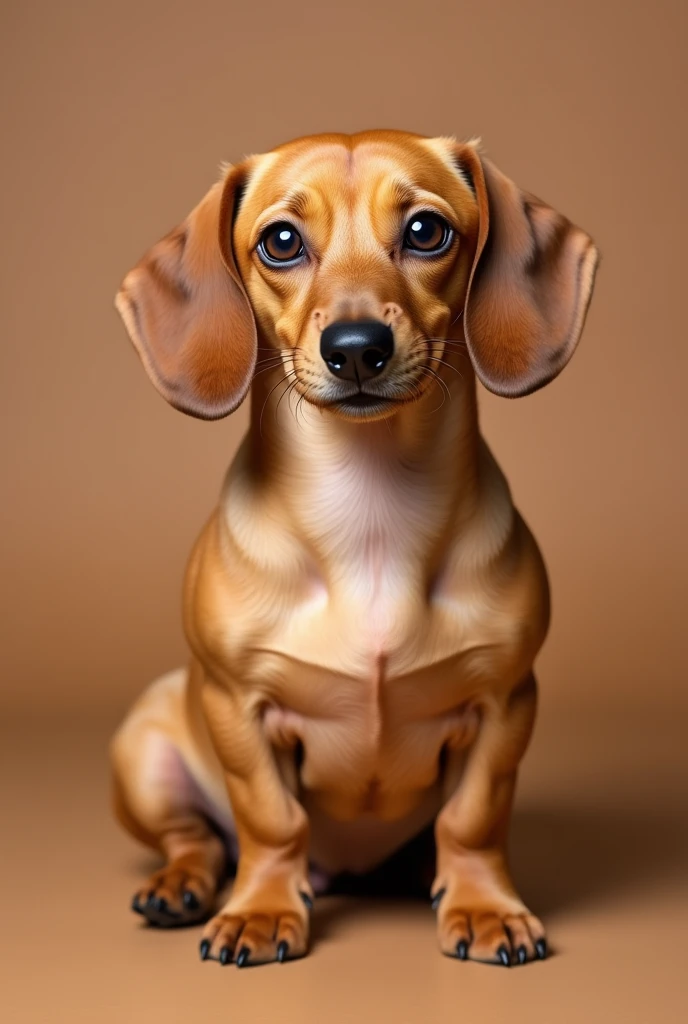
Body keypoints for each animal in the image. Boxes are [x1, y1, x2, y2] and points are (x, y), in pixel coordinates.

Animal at [111, 128, 597, 966]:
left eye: (426, 230)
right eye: (280, 241)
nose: (358, 347)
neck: (368, 513)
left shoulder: (505, 702)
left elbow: (472, 819)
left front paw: (485, 906)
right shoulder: (238, 705)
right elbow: (271, 820)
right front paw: (263, 911)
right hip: (142, 747)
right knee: (195, 839)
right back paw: (182, 887)